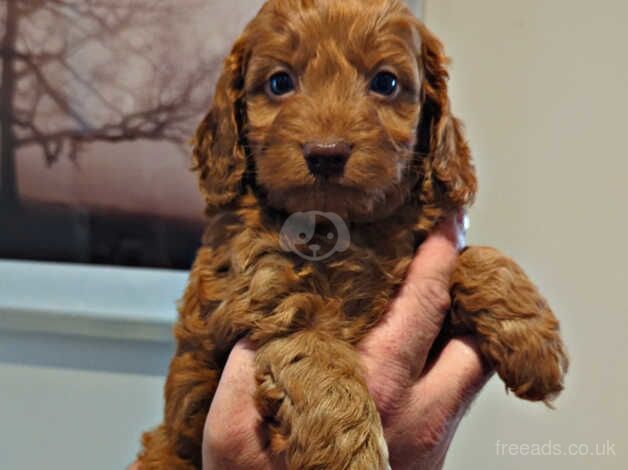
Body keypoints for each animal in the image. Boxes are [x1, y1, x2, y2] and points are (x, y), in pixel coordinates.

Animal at [137, 1, 568, 468]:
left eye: (386, 82)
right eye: (279, 82)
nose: (326, 154)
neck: (345, 228)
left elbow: (474, 256)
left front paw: (534, 340)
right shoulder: (273, 304)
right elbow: (323, 369)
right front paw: (354, 456)